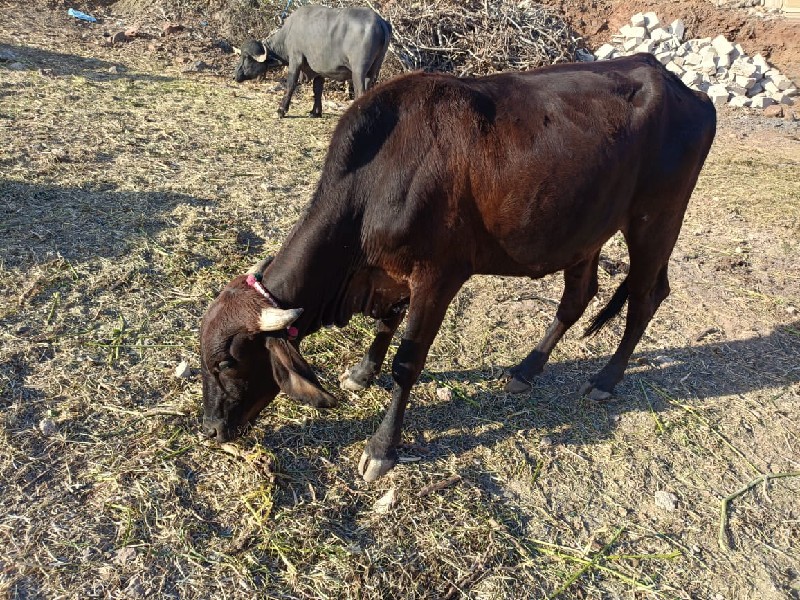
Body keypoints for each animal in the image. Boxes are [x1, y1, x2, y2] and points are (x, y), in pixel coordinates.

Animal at [200, 54, 720, 480]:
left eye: (226, 362)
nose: (209, 429)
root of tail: (680, 85)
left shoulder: (438, 276)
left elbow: (408, 362)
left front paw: (382, 448)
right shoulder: (393, 276)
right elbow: (386, 325)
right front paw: (363, 371)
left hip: (656, 220)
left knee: (645, 296)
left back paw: (607, 379)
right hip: (586, 229)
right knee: (579, 295)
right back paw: (526, 369)